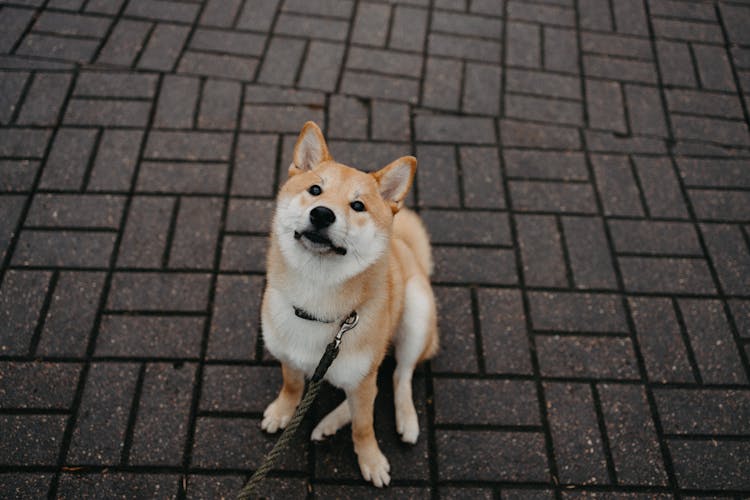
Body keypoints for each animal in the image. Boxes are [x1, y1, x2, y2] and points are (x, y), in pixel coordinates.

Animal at [262, 122, 440, 488]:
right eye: (315, 190)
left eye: (358, 206)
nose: (321, 213)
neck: (315, 302)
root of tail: (408, 252)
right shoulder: (287, 356)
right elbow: (292, 385)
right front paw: (283, 410)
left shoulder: (362, 376)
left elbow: (364, 425)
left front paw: (370, 459)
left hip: (416, 314)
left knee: (398, 376)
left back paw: (405, 419)